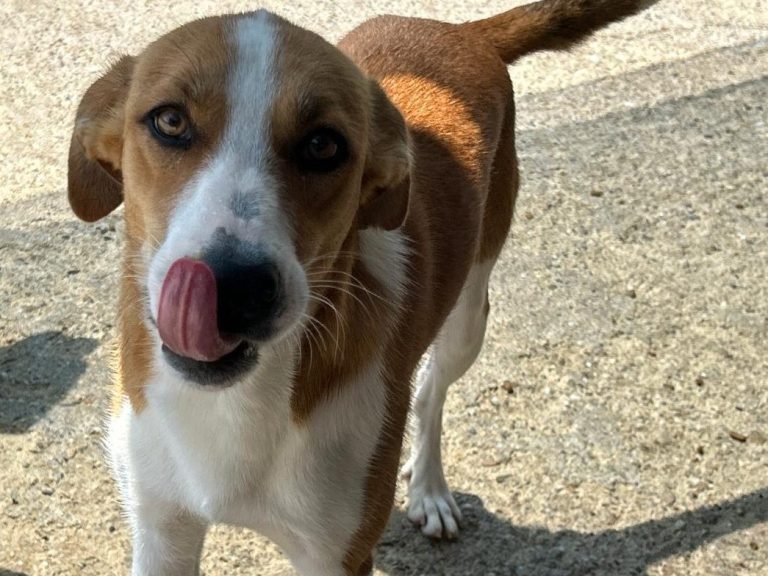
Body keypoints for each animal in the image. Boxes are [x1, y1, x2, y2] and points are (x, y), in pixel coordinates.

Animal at [67, 1, 655, 574]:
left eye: (323, 146)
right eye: (170, 120)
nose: (235, 288)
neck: (236, 402)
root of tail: (463, 33)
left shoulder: (334, 554)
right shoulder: (162, 531)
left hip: (469, 319)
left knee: (429, 391)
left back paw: (430, 488)